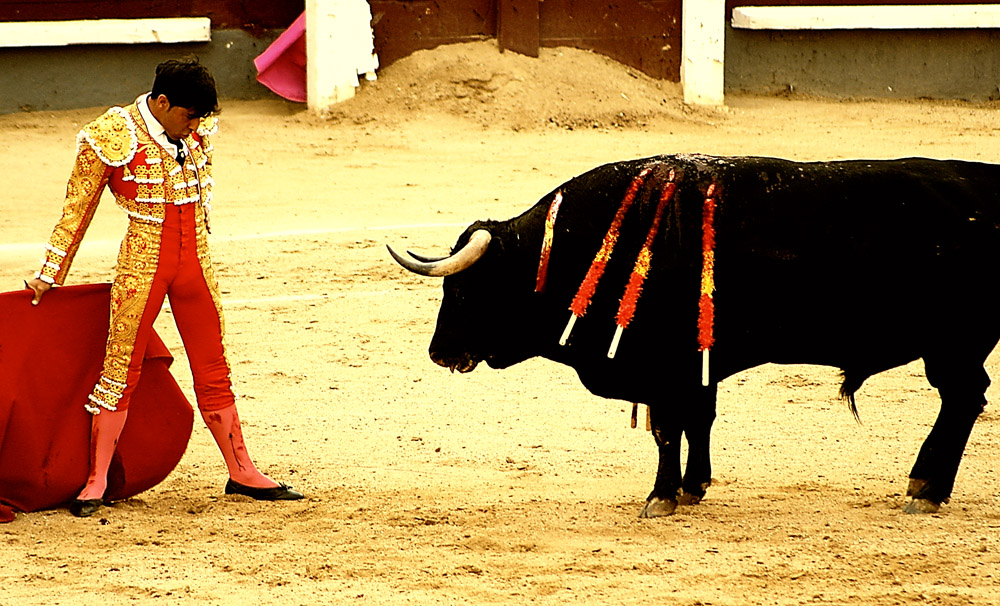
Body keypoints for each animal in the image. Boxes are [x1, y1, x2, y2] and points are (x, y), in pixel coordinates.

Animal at [388, 156, 1000, 516]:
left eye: (464, 290)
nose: (438, 352)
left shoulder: (663, 366)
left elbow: (666, 429)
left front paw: (660, 497)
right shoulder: (695, 366)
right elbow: (698, 420)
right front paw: (692, 486)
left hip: (954, 344)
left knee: (962, 399)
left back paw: (926, 490)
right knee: (965, 401)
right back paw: (926, 487)